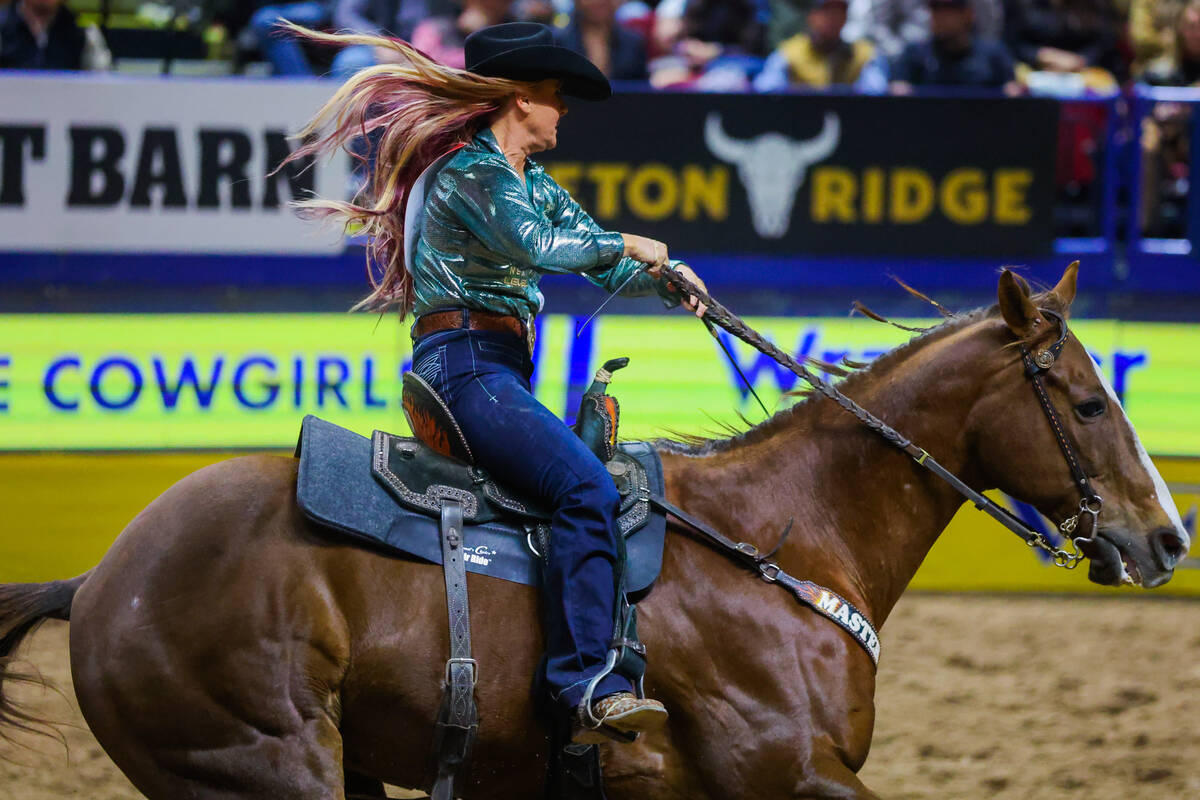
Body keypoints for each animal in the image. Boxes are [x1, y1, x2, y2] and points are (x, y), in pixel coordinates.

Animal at [0, 266, 1190, 796]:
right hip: (258, 762)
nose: (1169, 538)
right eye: (1089, 403)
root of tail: (100, 580)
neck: (786, 540)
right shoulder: (785, 771)